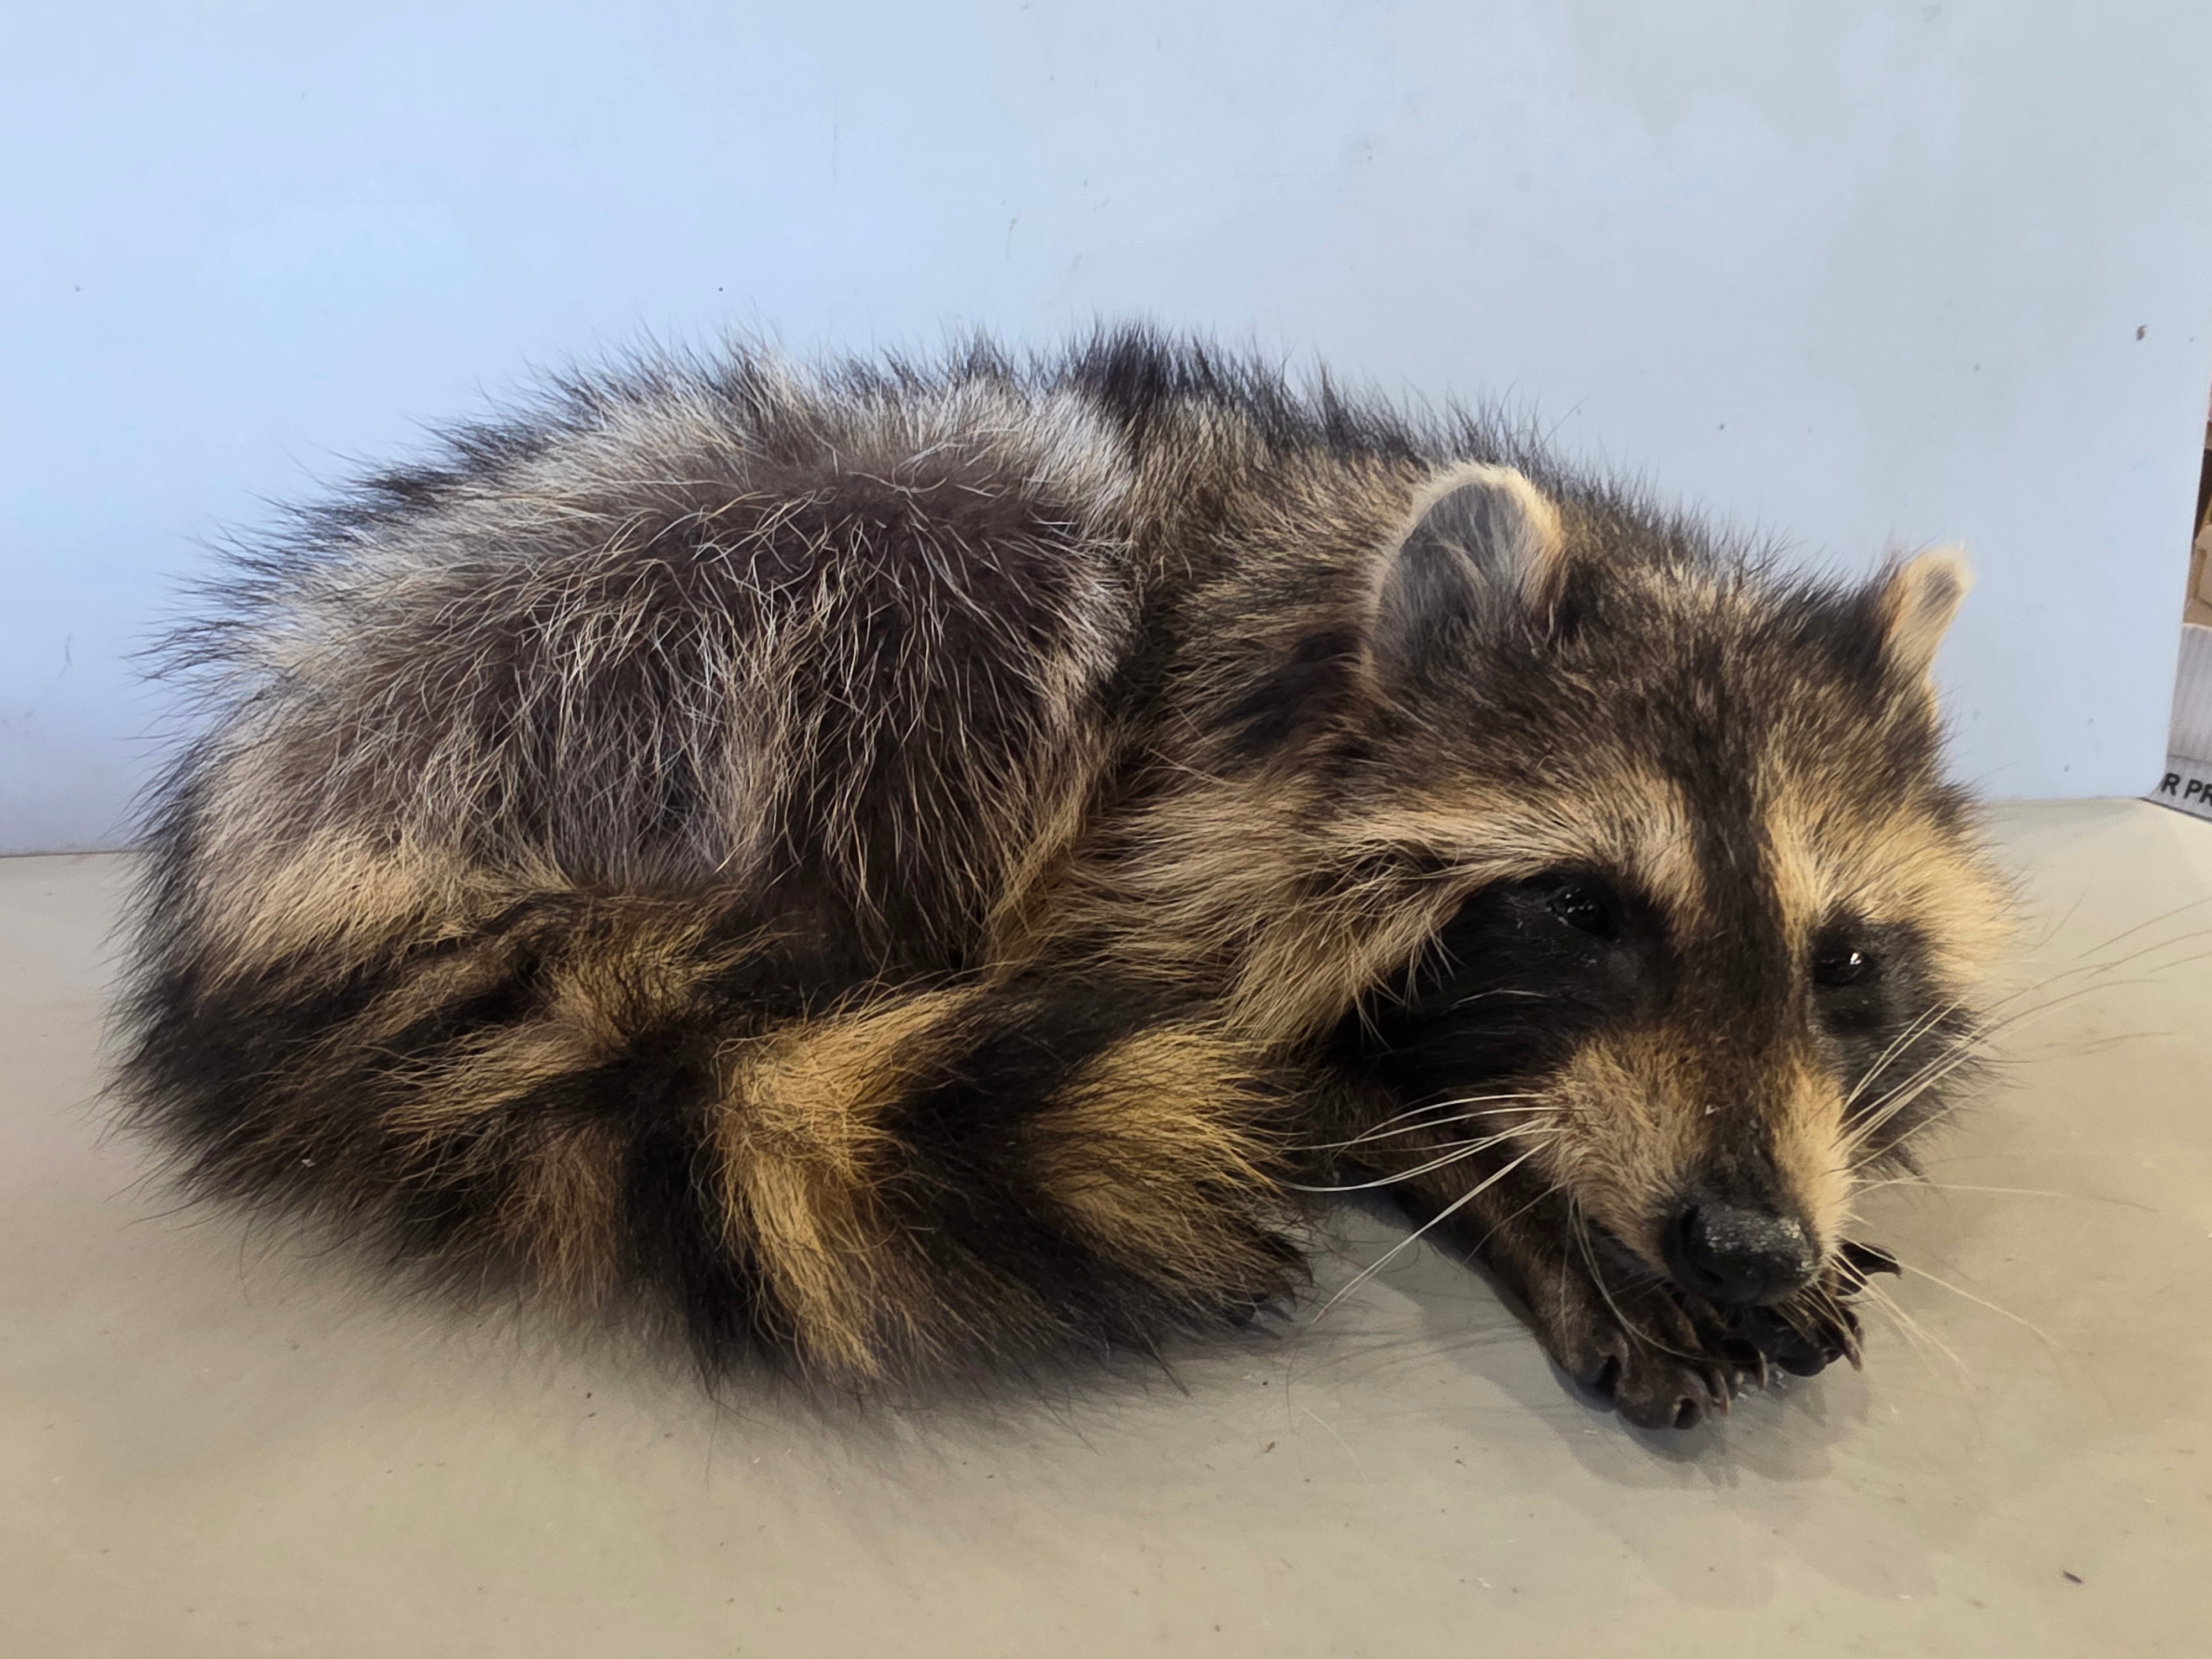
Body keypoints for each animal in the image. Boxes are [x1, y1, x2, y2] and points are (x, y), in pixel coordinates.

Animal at [114, 330, 2008, 1428]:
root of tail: (275, 788)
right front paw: (1514, 1186)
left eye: (1842, 963)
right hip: (752, 600)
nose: (1745, 1238)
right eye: (1578, 913)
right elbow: (1278, 1062)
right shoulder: (1153, 816)